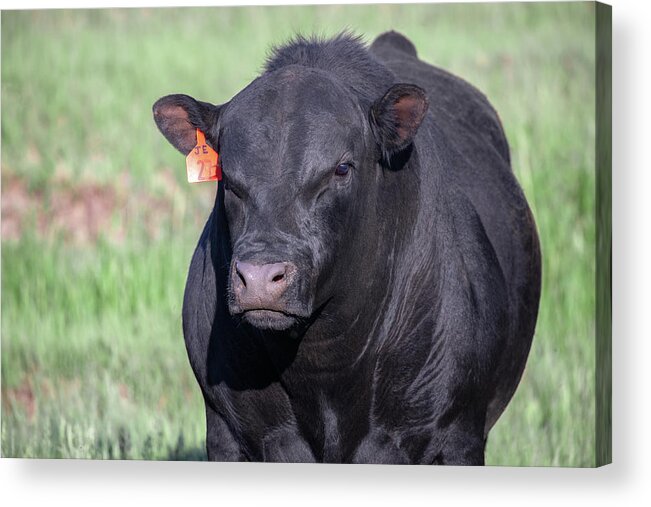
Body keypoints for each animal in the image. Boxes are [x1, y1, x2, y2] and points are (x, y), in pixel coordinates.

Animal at [152, 31, 540, 466]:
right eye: (226, 175)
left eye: (341, 168)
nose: (259, 278)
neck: (324, 365)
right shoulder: (225, 432)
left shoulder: (457, 435)